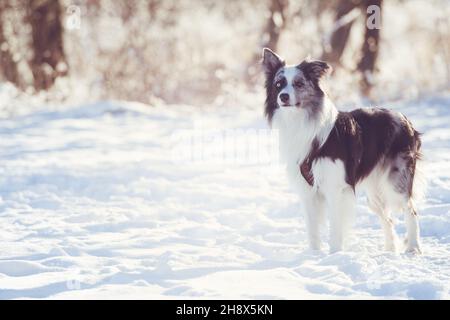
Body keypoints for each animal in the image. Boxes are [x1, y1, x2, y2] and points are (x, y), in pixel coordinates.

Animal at [262, 47, 424, 254]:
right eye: (278, 84)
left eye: (298, 83)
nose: (283, 96)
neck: (299, 121)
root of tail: (406, 120)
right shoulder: (307, 192)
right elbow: (312, 229)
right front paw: (314, 255)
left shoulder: (336, 188)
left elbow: (336, 227)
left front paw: (335, 254)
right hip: (374, 192)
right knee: (387, 219)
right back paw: (390, 250)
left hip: (396, 180)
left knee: (411, 210)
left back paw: (413, 248)